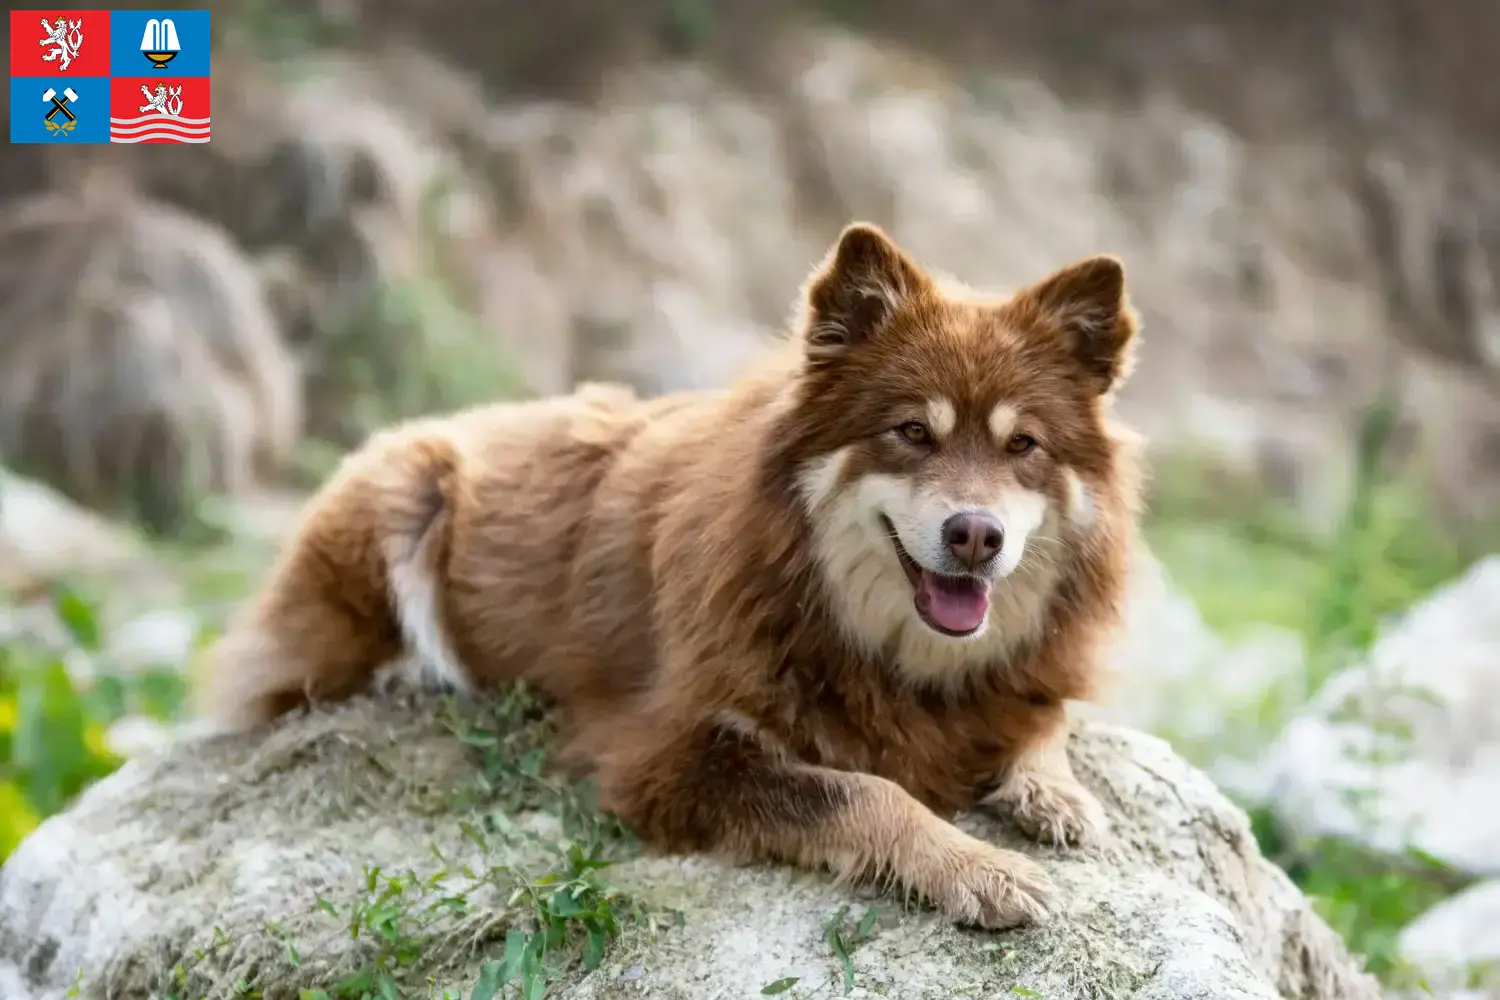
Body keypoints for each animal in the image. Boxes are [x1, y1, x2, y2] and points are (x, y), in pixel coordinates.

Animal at [199, 224, 1134, 929]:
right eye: (911, 432)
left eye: (1023, 446)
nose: (975, 536)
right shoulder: (666, 758)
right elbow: (862, 792)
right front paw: (975, 866)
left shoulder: (1022, 680)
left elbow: (1045, 720)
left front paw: (1054, 794)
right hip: (401, 494)